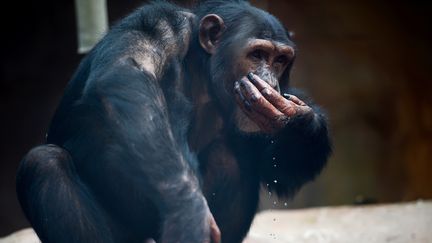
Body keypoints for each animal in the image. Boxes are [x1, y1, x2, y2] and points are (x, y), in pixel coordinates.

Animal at [15, 0, 330, 242]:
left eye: (280, 60)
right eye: (257, 54)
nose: (270, 81)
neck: (204, 68)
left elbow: (282, 169)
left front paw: (300, 118)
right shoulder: (158, 26)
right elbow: (126, 73)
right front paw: (187, 208)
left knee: (228, 158)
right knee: (45, 163)